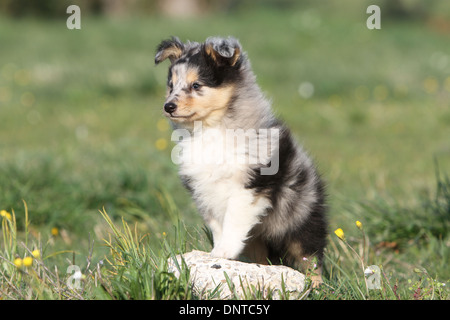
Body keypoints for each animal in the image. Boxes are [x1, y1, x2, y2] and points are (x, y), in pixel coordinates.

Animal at [155, 35, 326, 284]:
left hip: (300, 221)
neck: (210, 129)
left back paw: (317, 286)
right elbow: (218, 225)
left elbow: (233, 220)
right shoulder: (205, 191)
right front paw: (218, 252)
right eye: (171, 85)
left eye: (196, 85)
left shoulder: (249, 188)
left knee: (311, 259)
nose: (168, 106)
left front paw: (224, 251)